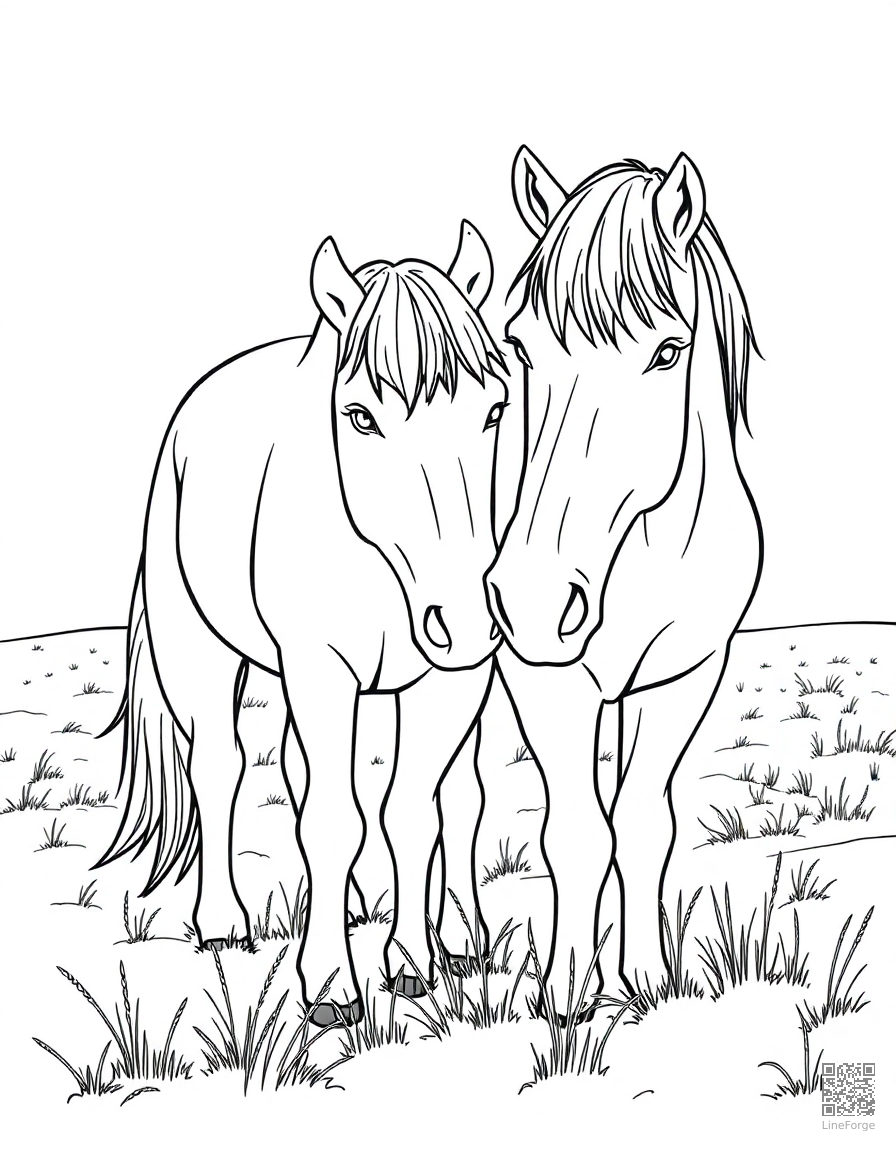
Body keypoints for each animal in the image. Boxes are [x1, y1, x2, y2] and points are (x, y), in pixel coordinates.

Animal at [96, 221, 509, 1026]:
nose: (470, 618)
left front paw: (412, 960)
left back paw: (382, 914)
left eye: (493, 411)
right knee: (220, 767)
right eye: (361, 416)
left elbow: (415, 809)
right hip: (202, 650)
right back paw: (224, 924)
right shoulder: (322, 670)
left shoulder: (454, 679)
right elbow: (333, 819)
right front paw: (330, 986)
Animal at [484, 148, 763, 1018]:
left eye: (667, 352)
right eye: (522, 347)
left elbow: (643, 822)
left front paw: (646, 980)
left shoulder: (683, 675)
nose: (534, 602)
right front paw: (570, 991)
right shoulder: (544, 681)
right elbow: (576, 829)